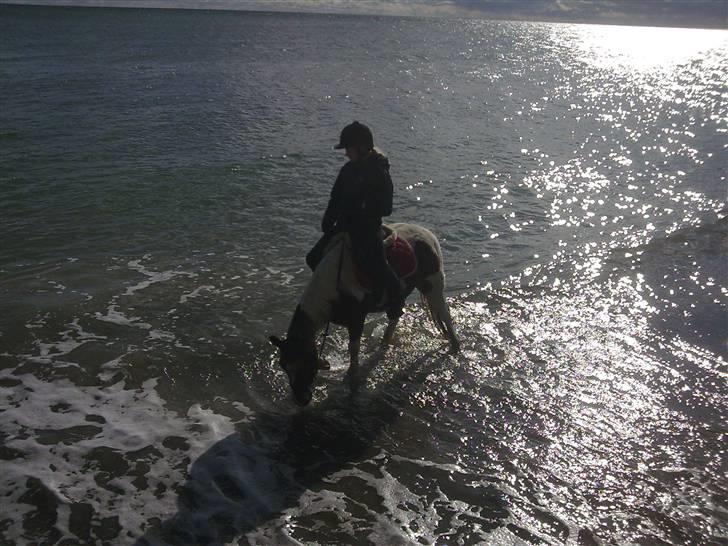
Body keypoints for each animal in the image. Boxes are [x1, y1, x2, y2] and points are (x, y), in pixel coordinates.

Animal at [270, 221, 458, 404]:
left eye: (306, 362)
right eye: (284, 366)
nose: (301, 400)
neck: (332, 289)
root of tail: (427, 234)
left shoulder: (357, 320)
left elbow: (353, 348)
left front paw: (352, 377)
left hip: (433, 286)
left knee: (445, 314)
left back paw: (455, 345)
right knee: (395, 317)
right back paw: (384, 344)